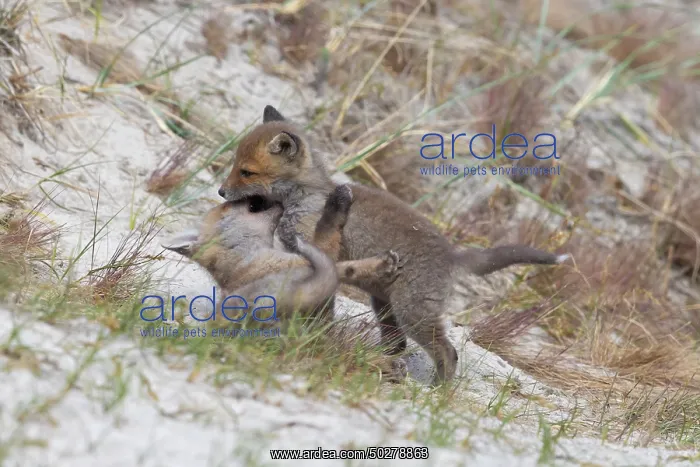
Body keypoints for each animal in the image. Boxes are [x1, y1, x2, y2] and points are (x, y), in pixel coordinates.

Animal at [162, 185, 400, 330]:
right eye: (227, 206)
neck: (250, 260)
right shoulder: (312, 262)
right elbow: (332, 243)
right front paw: (381, 265)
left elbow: (344, 266)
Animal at [217, 105, 569, 385]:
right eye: (234, 164)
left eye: (247, 172)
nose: (220, 191)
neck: (305, 198)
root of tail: (452, 254)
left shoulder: (321, 250)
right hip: (386, 308)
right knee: (400, 346)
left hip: (412, 312)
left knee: (448, 353)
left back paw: (436, 394)